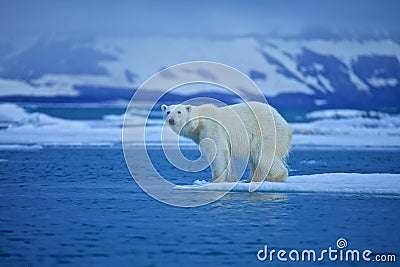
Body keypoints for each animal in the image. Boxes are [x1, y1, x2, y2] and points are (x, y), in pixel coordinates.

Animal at [161, 101, 292, 183]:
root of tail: (284, 122)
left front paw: (215, 180)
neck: (199, 121)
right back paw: (251, 179)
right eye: (168, 111)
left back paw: (275, 177)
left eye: (179, 112)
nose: (171, 120)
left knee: (263, 154)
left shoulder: (212, 128)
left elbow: (218, 152)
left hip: (264, 131)